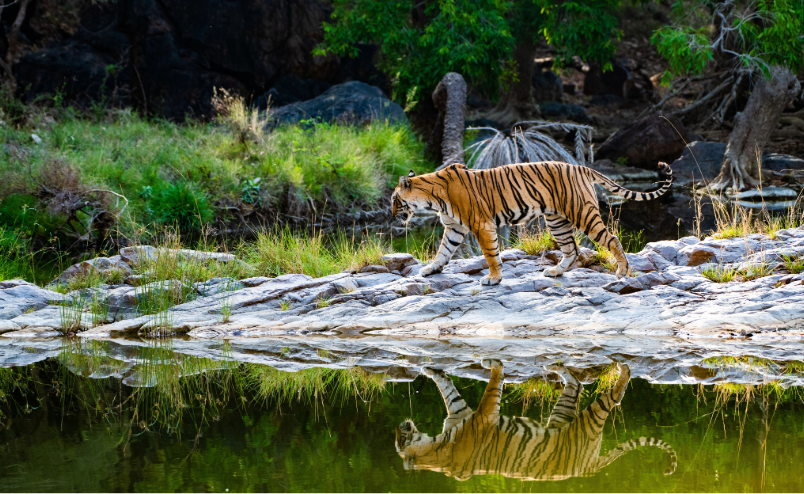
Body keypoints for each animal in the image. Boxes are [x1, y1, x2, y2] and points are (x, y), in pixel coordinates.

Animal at [390, 161, 673, 285]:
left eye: (394, 199)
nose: (391, 213)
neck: (432, 198)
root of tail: (582, 167)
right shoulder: (454, 228)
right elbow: (443, 251)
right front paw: (431, 270)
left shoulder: (481, 225)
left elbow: (490, 254)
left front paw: (493, 278)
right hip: (556, 220)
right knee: (572, 249)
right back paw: (555, 272)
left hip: (583, 213)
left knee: (611, 239)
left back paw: (622, 272)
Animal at [395, 361, 678, 481]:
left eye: (398, 438)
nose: (401, 425)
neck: (436, 447)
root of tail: (589, 469)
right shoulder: (470, 413)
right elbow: (456, 387)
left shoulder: (475, 414)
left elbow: (471, 387)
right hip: (571, 417)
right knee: (583, 387)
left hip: (580, 418)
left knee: (600, 391)